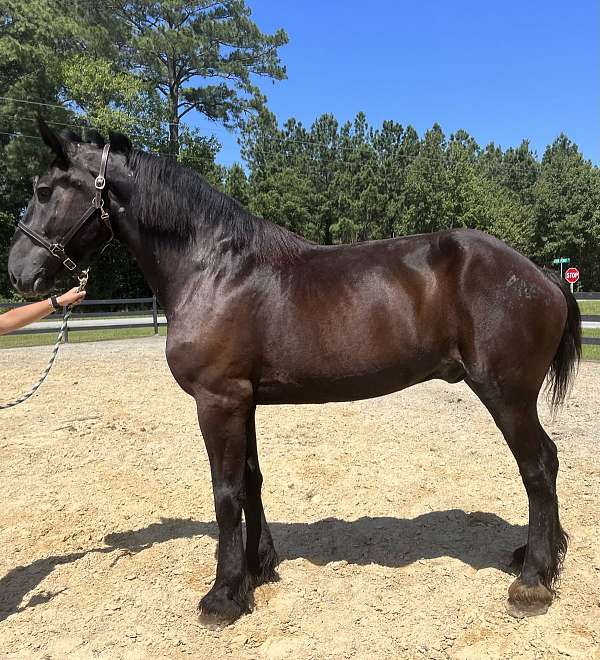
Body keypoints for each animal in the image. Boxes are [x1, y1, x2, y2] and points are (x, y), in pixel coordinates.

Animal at [7, 120, 580, 624]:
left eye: (42, 189)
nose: (18, 272)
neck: (213, 268)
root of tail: (543, 277)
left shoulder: (217, 401)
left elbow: (225, 492)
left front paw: (222, 596)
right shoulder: (242, 400)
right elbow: (250, 481)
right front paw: (255, 571)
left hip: (506, 395)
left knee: (537, 468)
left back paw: (532, 581)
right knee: (546, 464)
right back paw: (539, 557)